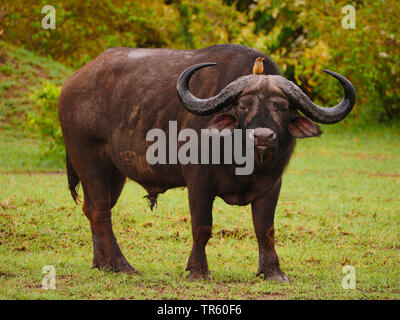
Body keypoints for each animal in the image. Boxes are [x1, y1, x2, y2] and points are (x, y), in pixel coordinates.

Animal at [57, 44, 354, 280]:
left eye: (282, 107)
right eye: (244, 105)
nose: (262, 136)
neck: (244, 161)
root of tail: (72, 85)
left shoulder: (272, 185)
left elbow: (265, 229)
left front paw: (273, 272)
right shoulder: (199, 184)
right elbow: (202, 227)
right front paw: (198, 271)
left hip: (115, 172)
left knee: (93, 208)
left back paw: (102, 263)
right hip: (88, 158)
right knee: (100, 211)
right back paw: (121, 266)